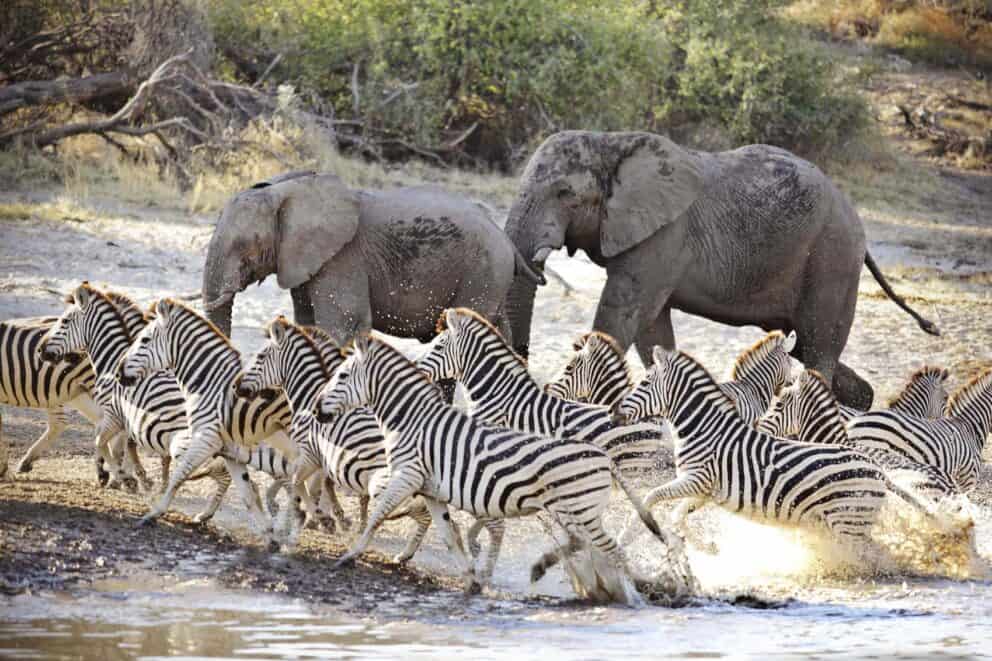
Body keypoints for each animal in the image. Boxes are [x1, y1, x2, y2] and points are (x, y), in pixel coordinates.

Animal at [118, 298, 293, 539]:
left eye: (144, 340)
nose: (119, 371)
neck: (210, 383)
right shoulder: (230, 448)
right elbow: (246, 492)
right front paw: (269, 535)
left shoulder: (205, 438)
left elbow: (180, 473)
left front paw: (154, 511)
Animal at [202, 171, 542, 346]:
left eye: (243, 244)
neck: (284, 189)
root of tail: (505, 239)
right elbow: (308, 323)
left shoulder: (342, 258)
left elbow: (343, 324)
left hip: (483, 271)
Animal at [314, 333, 693, 601]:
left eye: (342, 375)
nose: (317, 409)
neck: (413, 420)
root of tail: (604, 458)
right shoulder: (430, 488)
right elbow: (448, 535)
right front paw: (470, 580)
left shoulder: (407, 474)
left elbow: (378, 513)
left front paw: (350, 554)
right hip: (573, 511)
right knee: (583, 544)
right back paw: (555, 572)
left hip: (580, 510)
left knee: (611, 549)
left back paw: (629, 598)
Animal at [502, 131, 939, 409]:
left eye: (564, 194)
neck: (610, 142)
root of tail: (854, 215)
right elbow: (651, 329)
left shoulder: (666, 232)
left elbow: (623, 312)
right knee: (806, 345)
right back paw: (865, 399)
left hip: (833, 255)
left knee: (819, 344)